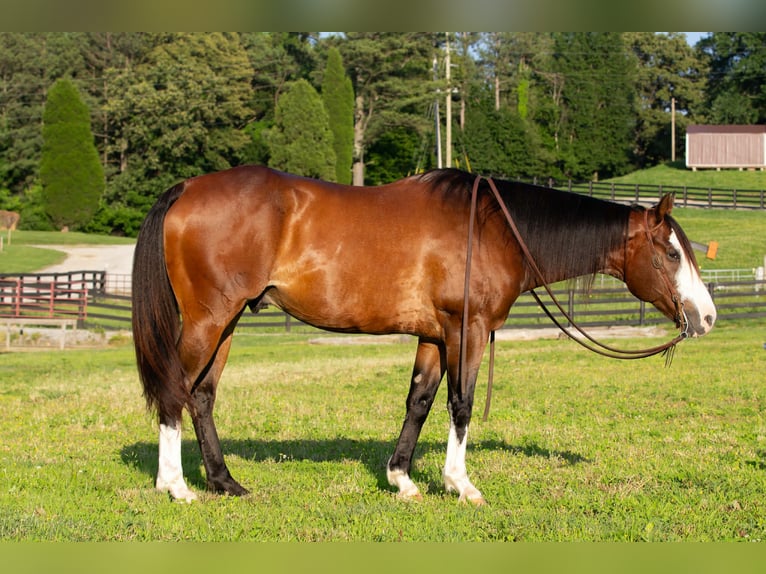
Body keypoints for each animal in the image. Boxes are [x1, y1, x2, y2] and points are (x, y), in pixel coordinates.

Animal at [132, 165, 716, 504]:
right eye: (671, 253)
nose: (706, 317)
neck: (493, 228)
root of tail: (187, 188)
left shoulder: (435, 336)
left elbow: (419, 400)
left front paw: (403, 480)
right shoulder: (467, 329)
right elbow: (461, 404)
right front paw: (461, 484)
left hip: (227, 322)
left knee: (201, 396)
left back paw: (224, 482)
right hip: (209, 318)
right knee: (176, 391)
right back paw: (175, 486)